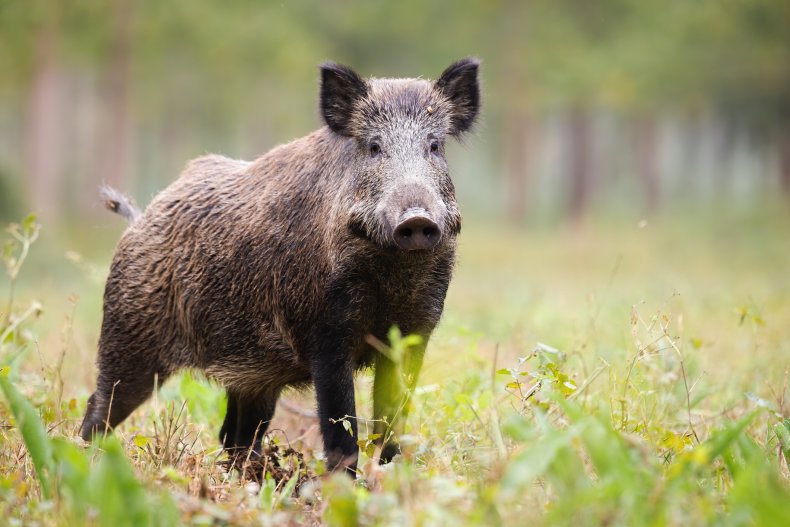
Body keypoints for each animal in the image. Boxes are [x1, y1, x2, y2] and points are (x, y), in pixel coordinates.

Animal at [80, 58, 480, 473]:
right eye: (373, 147)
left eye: (434, 146)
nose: (416, 218)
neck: (393, 274)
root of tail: (139, 219)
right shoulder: (326, 334)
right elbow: (341, 426)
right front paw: (343, 484)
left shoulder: (415, 334)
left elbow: (391, 419)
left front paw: (389, 474)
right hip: (127, 338)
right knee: (99, 408)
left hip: (252, 375)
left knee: (233, 434)